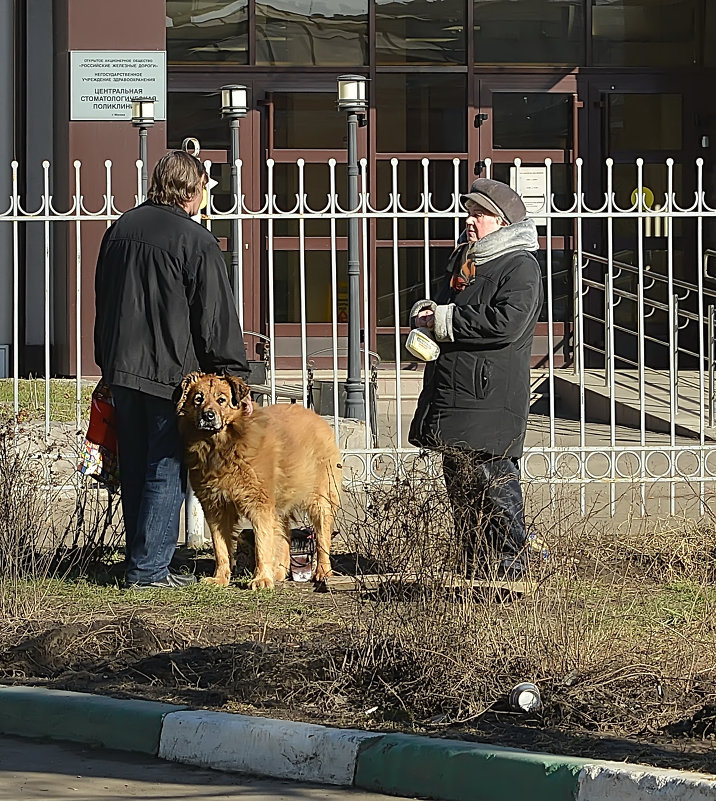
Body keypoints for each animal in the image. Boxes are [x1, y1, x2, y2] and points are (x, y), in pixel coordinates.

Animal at [175, 374, 340, 588]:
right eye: (198, 399)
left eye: (221, 400)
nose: (208, 416)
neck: (222, 447)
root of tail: (315, 416)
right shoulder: (215, 508)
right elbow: (221, 548)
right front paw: (220, 578)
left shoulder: (259, 504)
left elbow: (262, 544)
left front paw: (261, 578)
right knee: (284, 533)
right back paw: (279, 572)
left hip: (319, 499)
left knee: (322, 537)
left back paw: (322, 571)